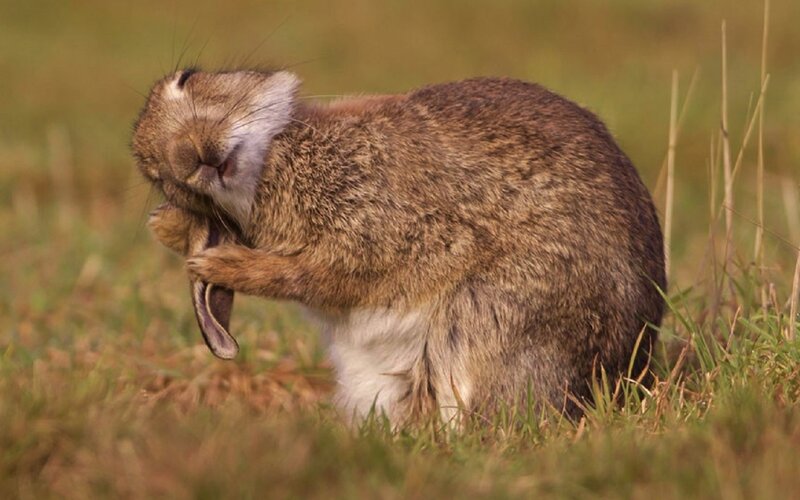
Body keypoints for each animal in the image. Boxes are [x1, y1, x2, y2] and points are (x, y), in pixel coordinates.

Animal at [133, 68, 666, 423]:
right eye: (155, 174)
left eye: (188, 78)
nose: (187, 157)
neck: (272, 164)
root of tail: (626, 368)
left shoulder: (388, 233)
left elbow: (315, 275)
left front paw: (217, 263)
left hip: (489, 319)